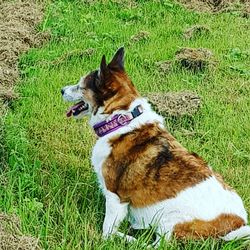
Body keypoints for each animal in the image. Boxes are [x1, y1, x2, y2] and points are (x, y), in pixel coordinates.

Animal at [61, 47, 250, 244]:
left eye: (80, 86)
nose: (61, 90)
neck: (121, 119)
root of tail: (237, 223)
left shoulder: (114, 197)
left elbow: (108, 231)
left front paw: (105, 237)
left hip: (170, 220)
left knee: (157, 244)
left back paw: (133, 238)